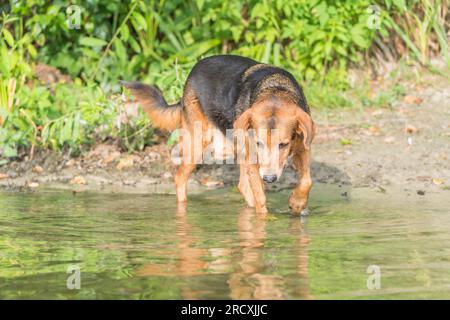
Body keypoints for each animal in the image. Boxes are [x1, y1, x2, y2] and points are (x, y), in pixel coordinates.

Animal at [121, 55, 314, 215]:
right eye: (259, 143)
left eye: (283, 144)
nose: (269, 178)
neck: (276, 89)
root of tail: (194, 69)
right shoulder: (254, 159)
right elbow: (260, 197)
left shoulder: (303, 149)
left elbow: (306, 181)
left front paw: (297, 203)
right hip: (197, 144)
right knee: (180, 178)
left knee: (242, 185)